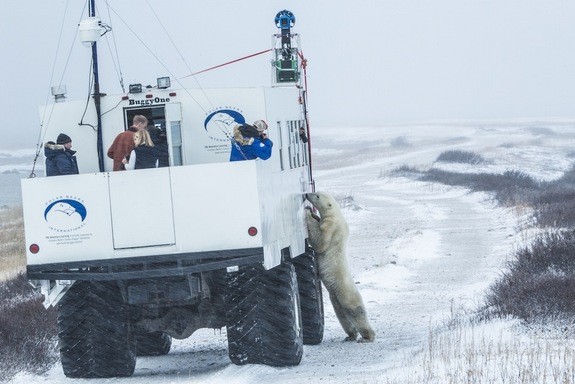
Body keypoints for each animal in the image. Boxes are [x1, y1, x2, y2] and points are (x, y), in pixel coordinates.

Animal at [304, 192, 376, 342]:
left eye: (317, 196)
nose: (307, 194)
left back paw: (367, 336)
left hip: (345, 292)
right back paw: (350, 335)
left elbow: (320, 243)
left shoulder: (331, 226)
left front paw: (308, 213)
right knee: (342, 314)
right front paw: (314, 214)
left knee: (355, 311)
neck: (336, 213)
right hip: (335, 296)